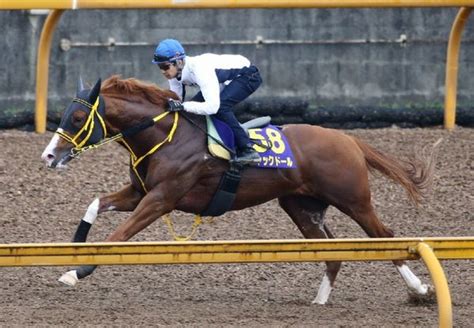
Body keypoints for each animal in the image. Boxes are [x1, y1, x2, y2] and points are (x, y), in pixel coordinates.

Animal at [40, 75, 436, 304]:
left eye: (78, 118)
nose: (48, 156)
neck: (165, 136)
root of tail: (348, 139)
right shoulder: (139, 193)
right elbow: (95, 203)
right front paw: (75, 248)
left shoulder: (161, 199)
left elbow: (119, 236)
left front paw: (78, 272)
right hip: (301, 206)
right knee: (334, 251)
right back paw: (320, 300)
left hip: (354, 199)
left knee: (385, 236)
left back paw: (419, 290)